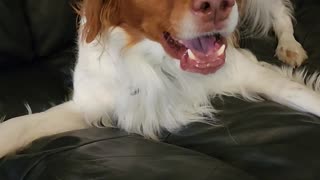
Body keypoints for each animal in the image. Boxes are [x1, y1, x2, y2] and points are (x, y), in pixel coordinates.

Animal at [0, 0, 316, 158]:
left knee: (281, 14)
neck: (159, 59)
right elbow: (22, 126)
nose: (217, 7)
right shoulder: (92, 102)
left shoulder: (247, 70)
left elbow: (301, 93)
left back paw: (289, 46)